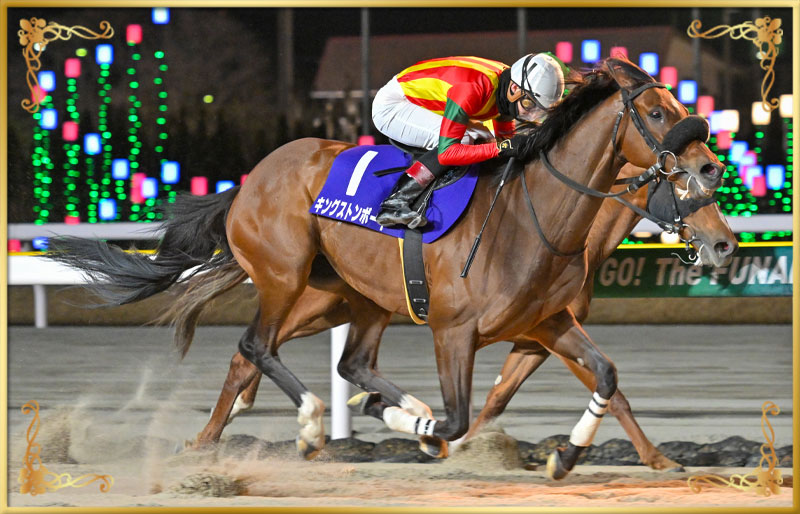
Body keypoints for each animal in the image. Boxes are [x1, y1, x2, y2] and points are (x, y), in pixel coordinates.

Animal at [48, 57, 725, 480]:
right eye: (658, 114)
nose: (711, 169)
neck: (535, 220)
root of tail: (250, 178)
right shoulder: (455, 331)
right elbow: (461, 414)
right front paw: (424, 431)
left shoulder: (545, 323)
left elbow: (606, 378)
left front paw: (569, 457)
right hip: (285, 276)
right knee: (256, 345)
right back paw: (306, 425)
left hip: (353, 297)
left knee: (341, 361)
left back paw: (215, 439)